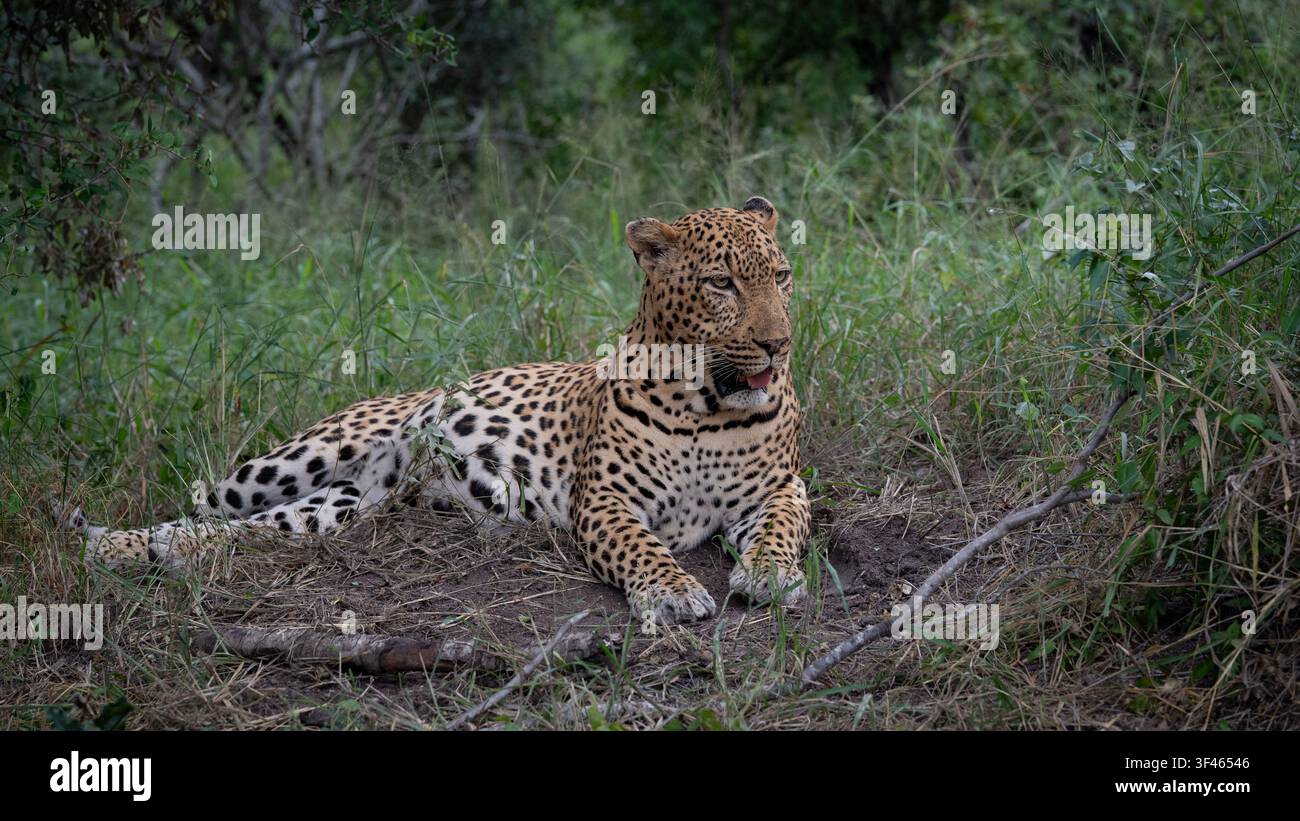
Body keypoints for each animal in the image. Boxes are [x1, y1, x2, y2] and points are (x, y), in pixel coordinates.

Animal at [58, 197, 812, 625]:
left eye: (781, 276)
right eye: (721, 283)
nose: (778, 341)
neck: (708, 404)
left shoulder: (782, 488)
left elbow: (781, 529)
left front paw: (771, 575)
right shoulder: (605, 500)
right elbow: (641, 546)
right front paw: (672, 590)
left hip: (337, 508)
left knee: (237, 530)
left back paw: (169, 552)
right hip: (297, 458)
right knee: (201, 502)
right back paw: (107, 543)